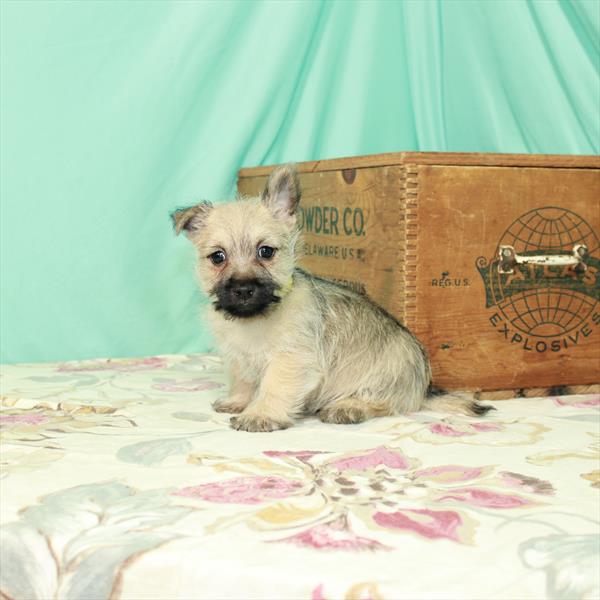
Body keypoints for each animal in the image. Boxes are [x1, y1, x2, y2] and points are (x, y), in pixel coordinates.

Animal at [170, 164, 492, 432]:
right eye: (217, 257)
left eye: (266, 252)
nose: (243, 290)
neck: (256, 319)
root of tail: (424, 388)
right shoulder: (240, 357)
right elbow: (244, 380)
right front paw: (238, 401)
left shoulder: (291, 360)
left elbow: (273, 387)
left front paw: (260, 414)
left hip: (384, 377)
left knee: (383, 403)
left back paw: (347, 407)